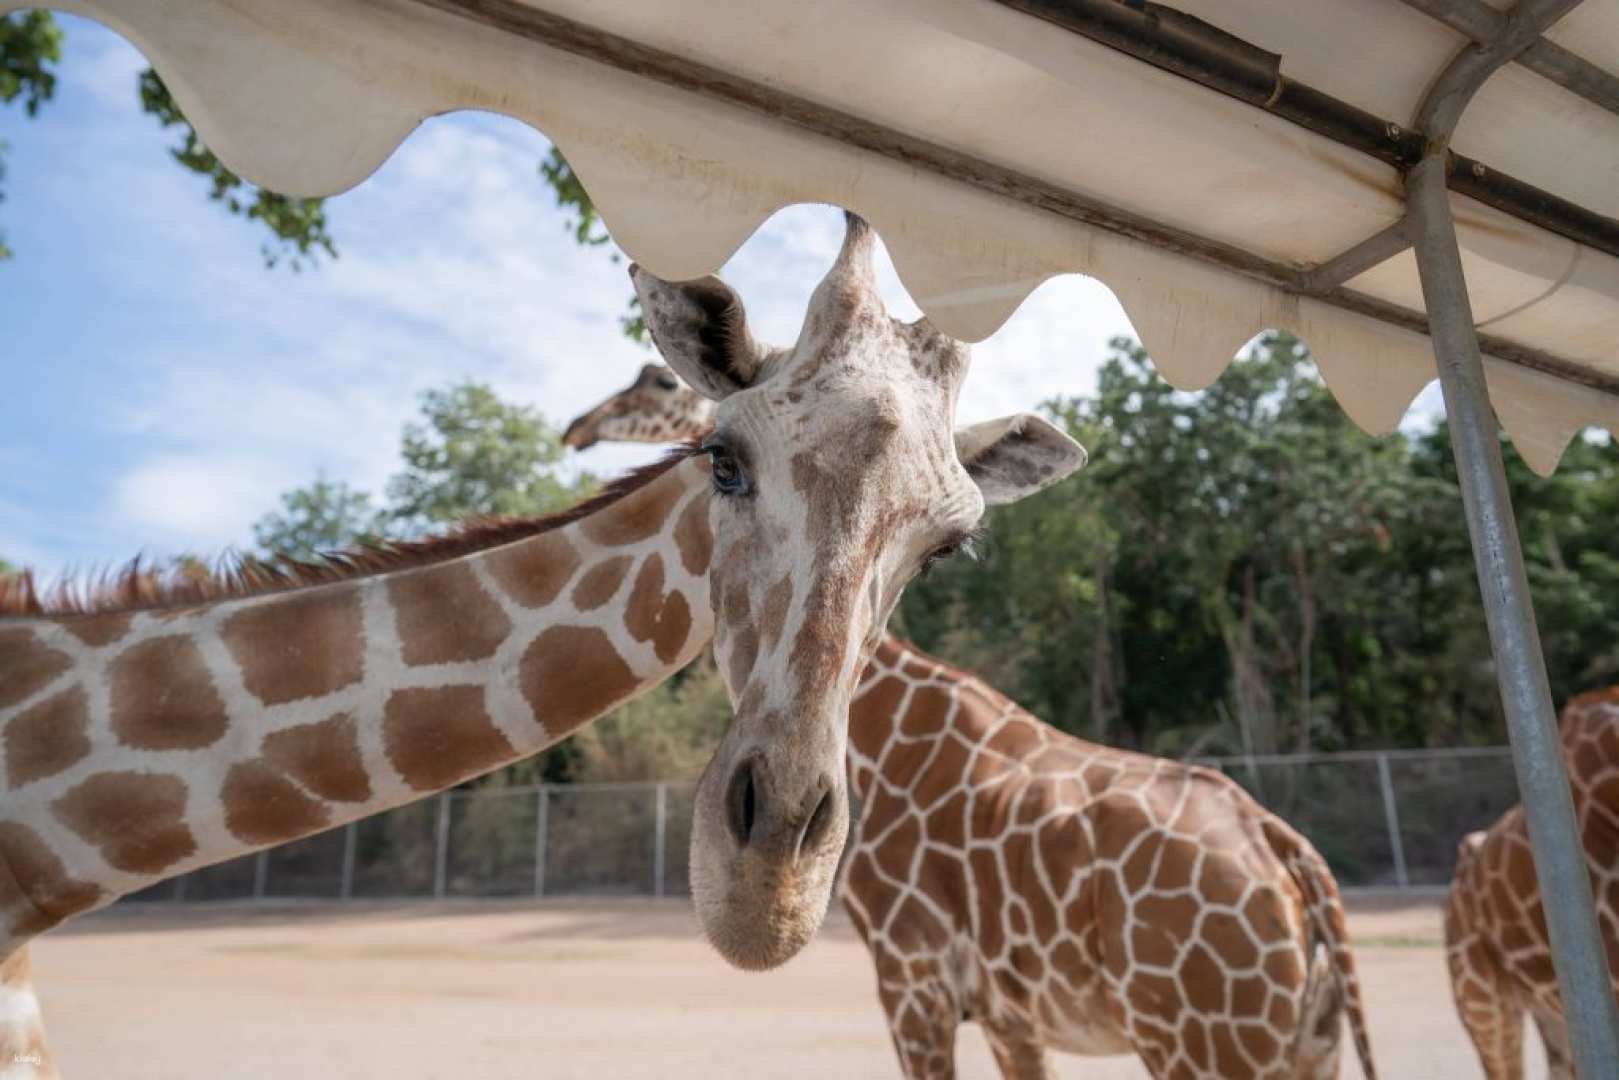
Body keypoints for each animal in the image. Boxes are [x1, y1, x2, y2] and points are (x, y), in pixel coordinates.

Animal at [563, 365, 1372, 1080]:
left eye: (654, 382)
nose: (578, 427)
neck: (887, 732)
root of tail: (1291, 857)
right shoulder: (1011, 1013)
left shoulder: (912, 976)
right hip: (1306, 1044)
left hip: (1204, 1040)